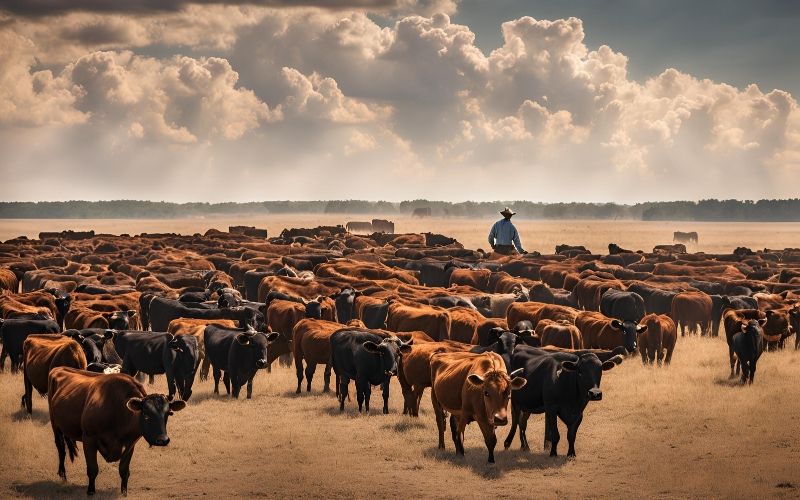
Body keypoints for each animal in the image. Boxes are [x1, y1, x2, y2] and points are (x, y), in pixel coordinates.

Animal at [47, 368, 185, 496]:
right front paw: (90, 491)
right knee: (61, 449)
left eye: (168, 413)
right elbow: (92, 469)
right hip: (55, 424)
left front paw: (124, 492)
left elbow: (124, 470)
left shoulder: (130, 444)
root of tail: (59, 368)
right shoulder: (88, 439)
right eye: (146, 414)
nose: (163, 440)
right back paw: (63, 476)